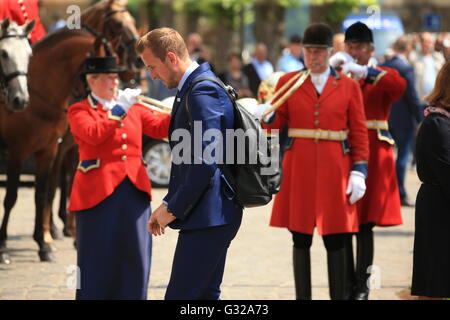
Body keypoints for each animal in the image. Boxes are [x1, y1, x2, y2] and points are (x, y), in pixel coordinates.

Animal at [0, 0, 140, 264]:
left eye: (133, 22)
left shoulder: (53, 149)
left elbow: (45, 192)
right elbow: (12, 197)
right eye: (118, 24)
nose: (137, 61)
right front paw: (5, 246)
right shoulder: (17, 151)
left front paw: (46, 242)